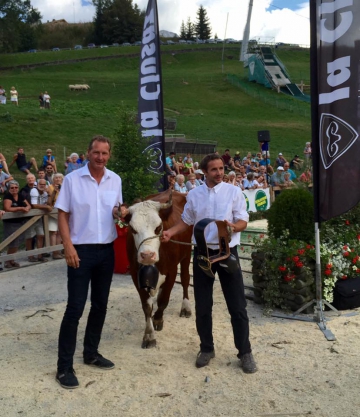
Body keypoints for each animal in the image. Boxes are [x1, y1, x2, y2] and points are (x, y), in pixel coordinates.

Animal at [126, 189, 194, 348]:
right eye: (132, 229)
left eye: (158, 227)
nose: (147, 255)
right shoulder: (135, 274)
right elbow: (147, 306)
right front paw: (149, 335)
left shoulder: (171, 271)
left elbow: (164, 299)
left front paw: (158, 319)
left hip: (187, 253)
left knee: (185, 279)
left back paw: (186, 307)